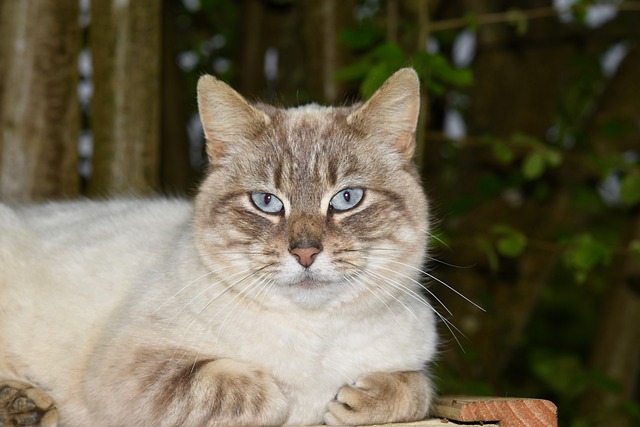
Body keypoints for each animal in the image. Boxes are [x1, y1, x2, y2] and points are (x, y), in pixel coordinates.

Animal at [0, 68, 438, 426]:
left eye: (347, 198)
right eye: (267, 202)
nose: (305, 253)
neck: (316, 333)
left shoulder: (413, 362)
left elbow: (416, 389)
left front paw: (356, 400)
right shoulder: (131, 367)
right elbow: (259, 394)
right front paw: (291, 395)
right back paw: (24, 404)